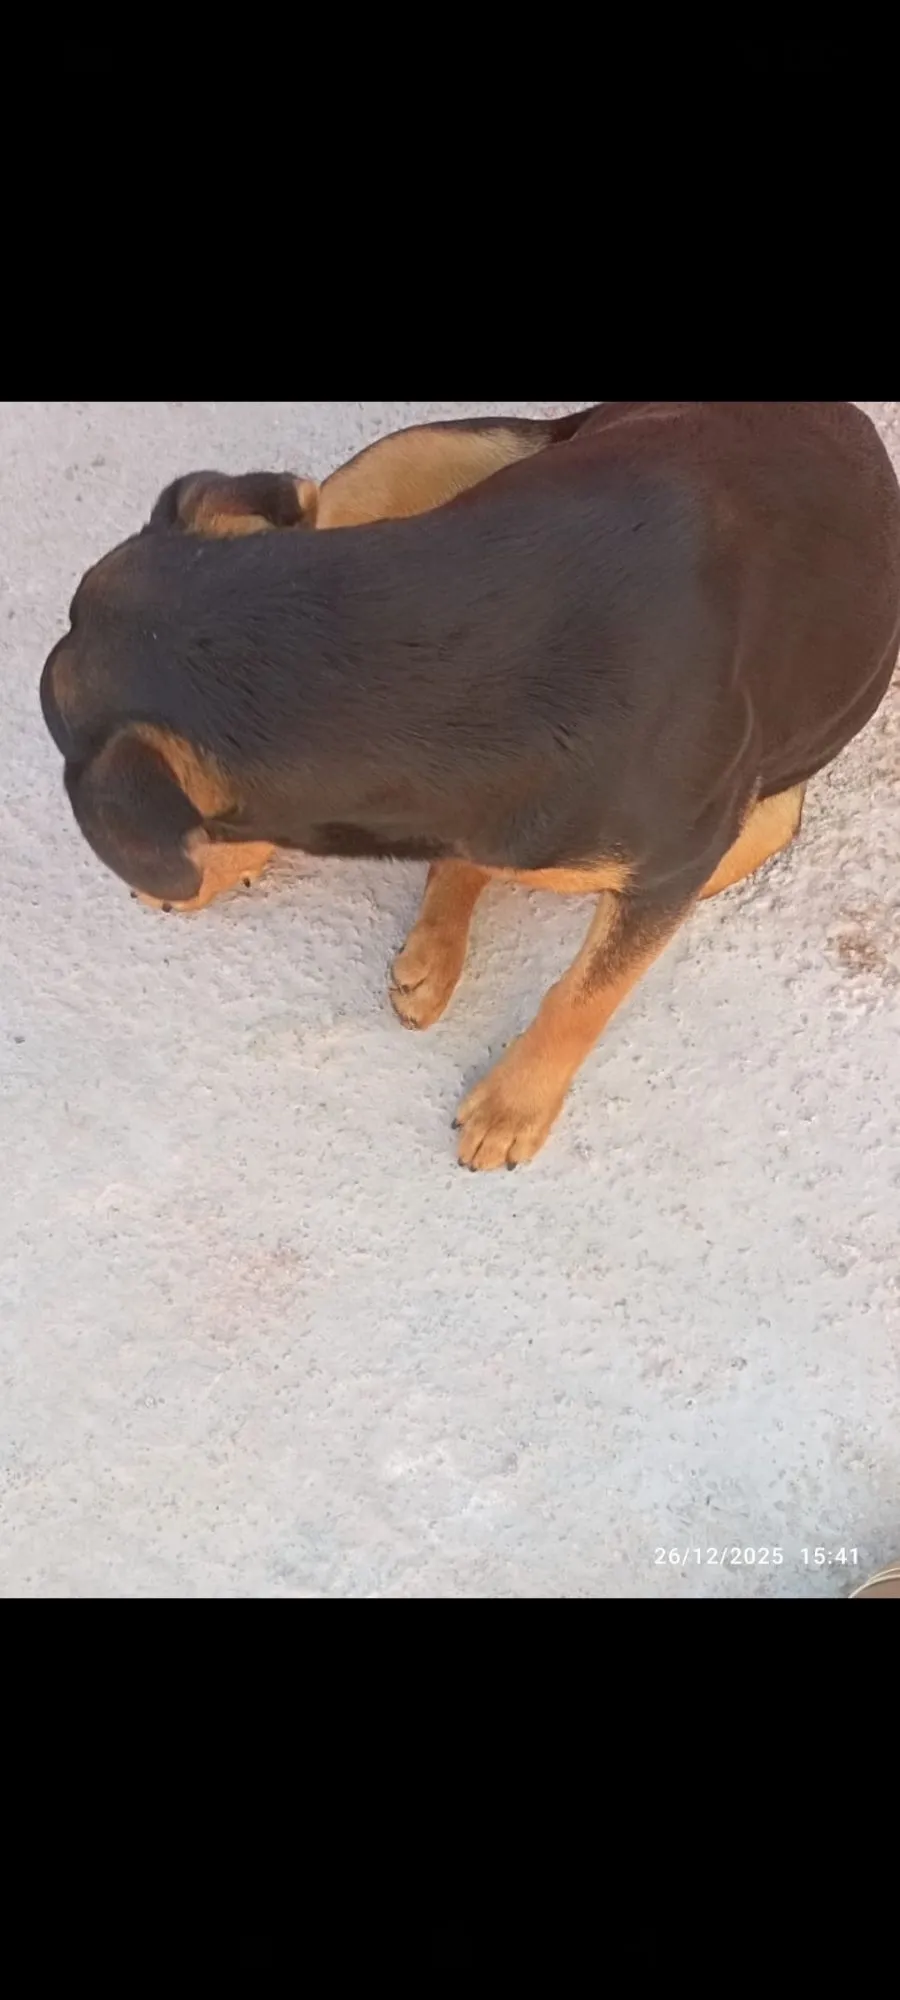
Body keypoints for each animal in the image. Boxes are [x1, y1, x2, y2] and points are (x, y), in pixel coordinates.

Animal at [40, 403, 900, 1169]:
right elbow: (467, 863)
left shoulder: (669, 873)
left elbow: (584, 996)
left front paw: (516, 1104)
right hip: (424, 460)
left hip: (759, 821)